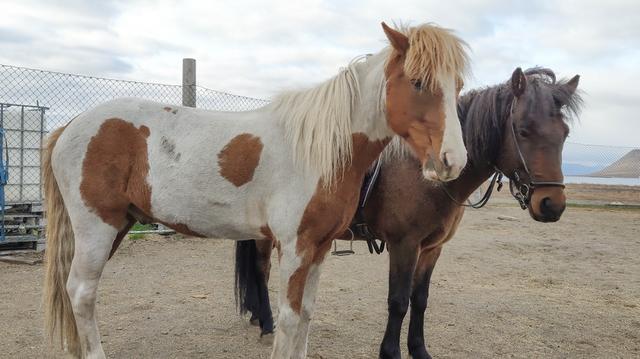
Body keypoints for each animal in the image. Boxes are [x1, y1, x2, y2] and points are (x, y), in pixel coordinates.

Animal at [41, 23, 470, 359]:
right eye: (418, 82)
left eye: (458, 86)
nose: (453, 160)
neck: (318, 150)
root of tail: (72, 125)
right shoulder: (295, 247)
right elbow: (290, 318)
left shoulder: (319, 248)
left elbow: (307, 314)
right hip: (97, 228)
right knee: (82, 292)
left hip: (118, 225)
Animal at [236, 67, 584, 358]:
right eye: (523, 131)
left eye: (564, 133)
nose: (552, 204)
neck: (424, 173)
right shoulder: (404, 245)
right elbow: (399, 301)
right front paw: (390, 353)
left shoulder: (431, 249)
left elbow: (420, 300)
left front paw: (419, 350)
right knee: (261, 270)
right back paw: (267, 323)